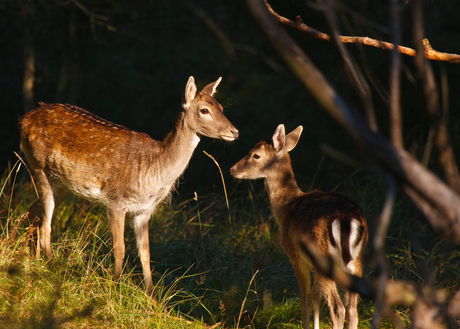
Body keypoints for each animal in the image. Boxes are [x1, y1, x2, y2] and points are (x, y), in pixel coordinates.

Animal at [232, 123, 368, 328]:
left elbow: (305, 299)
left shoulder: (296, 257)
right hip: (357, 260)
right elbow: (315, 297)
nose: (232, 169)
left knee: (338, 308)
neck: (287, 207)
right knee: (352, 309)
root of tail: (345, 220)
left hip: (324, 259)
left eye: (255, 155)